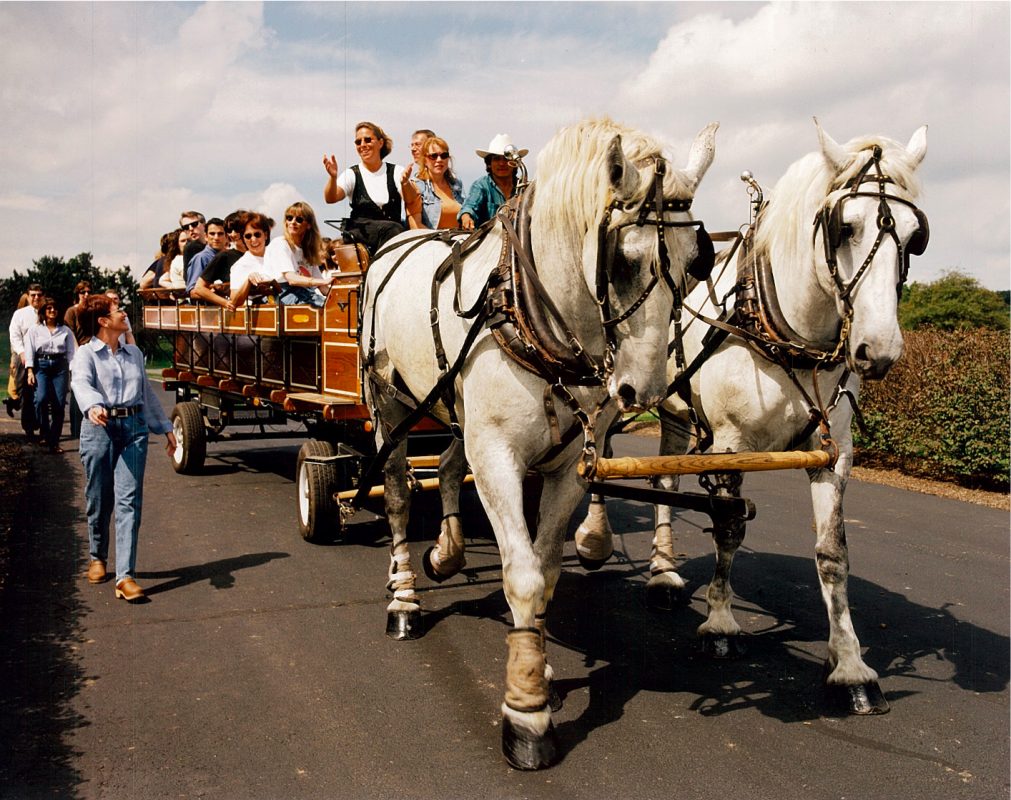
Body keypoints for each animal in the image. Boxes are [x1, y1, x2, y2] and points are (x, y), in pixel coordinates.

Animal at [363, 118, 719, 768]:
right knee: (399, 492)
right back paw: (403, 598)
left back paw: (446, 553)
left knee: (447, 464)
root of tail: (396, 243)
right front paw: (526, 713)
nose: (644, 389)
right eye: (624, 261)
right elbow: (523, 573)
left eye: (694, 264)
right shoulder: (498, 458)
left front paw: (540, 669)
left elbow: (547, 568)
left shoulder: (566, 465)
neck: (532, 315)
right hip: (390, 404)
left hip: (454, 408)